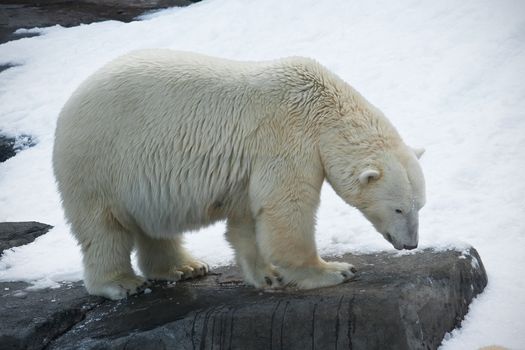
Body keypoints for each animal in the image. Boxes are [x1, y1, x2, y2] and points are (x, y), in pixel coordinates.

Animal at [51, 49, 424, 300]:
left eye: (419, 206)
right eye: (398, 208)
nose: (411, 244)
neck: (323, 110)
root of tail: (67, 106)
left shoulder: (251, 166)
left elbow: (247, 219)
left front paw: (267, 276)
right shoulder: (287, 141)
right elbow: (286, 211)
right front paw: (335, 270)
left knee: (152, 225)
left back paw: (185, 267)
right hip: (99, 161)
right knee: (104, 227)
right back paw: (121, 284)